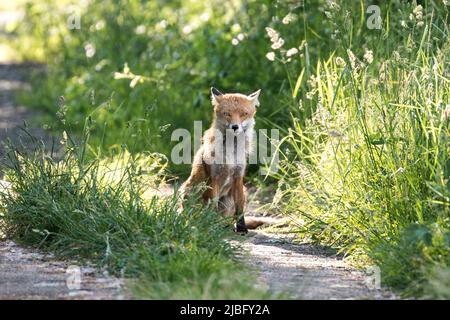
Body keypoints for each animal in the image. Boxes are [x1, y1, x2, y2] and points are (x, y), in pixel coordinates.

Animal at [179, 87, 264, 232]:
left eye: (244, 114)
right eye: (227, 114)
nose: (235, 127)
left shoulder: (238, 176)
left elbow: (239, 209)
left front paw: (241, 229)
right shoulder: (215, 177)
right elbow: (212, 205)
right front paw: (209, 225)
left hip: (240, 193)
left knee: (227, 219)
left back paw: (224, 227)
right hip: (189, 191)